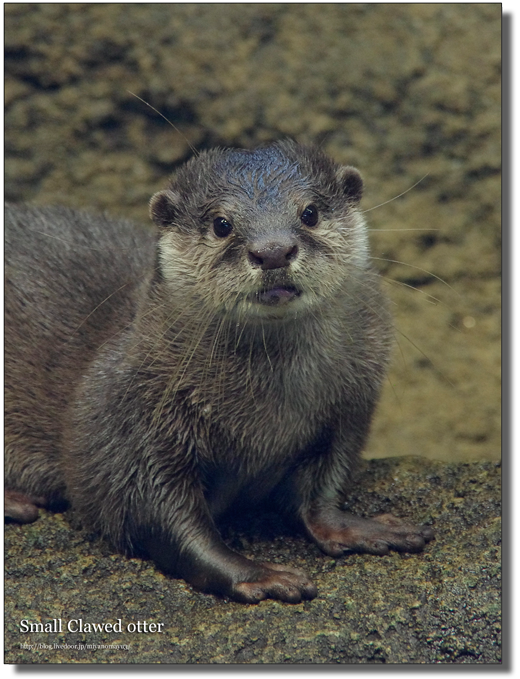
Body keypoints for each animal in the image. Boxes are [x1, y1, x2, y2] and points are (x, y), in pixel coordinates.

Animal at [6, 141, 432, 604]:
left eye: (310, 213)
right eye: (221, 224)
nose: (273, 250)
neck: (269, 418)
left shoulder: (349, 407)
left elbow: (322, 487)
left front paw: (359, 528)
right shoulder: (128, 410)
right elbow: (152, 514)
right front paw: (258, 573)